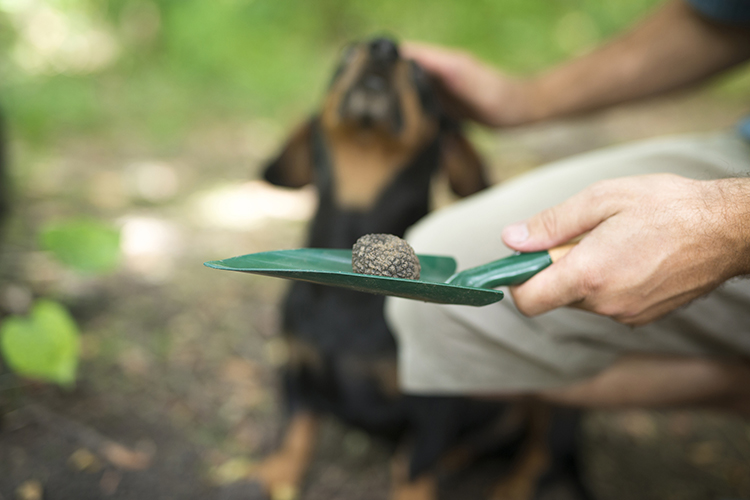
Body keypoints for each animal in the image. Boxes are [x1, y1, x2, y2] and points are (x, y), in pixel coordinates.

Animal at [258, 37, 592, 498]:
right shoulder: (296, 369)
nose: (383, 46)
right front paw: (277, 474)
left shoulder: (434, 405)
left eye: (419, 74)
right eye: (348, 53)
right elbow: (297, 428)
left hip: (557, 397)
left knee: (540, 454)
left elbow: (413, 470)